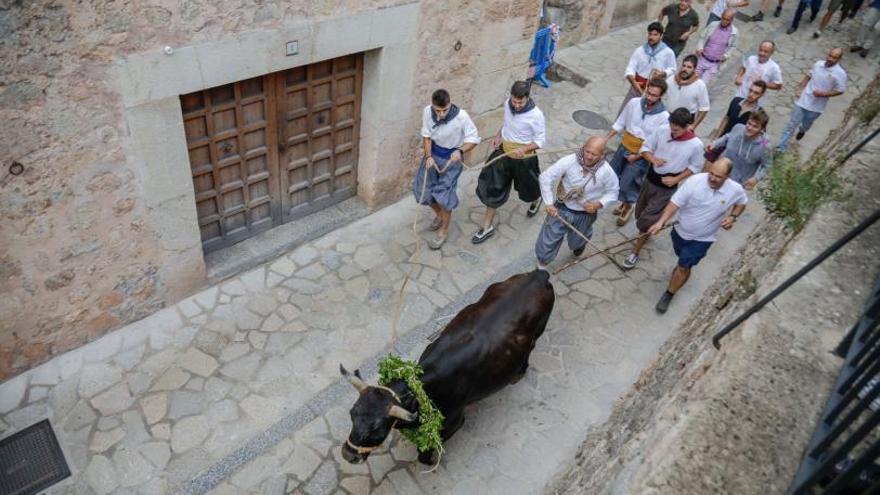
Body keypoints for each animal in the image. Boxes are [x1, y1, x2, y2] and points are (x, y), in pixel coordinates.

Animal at [340, 270, 552, 464]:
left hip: (539, 331)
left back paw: (518, 374)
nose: (348, 455)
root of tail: (539, 275)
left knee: (530, 349)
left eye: (377, 428)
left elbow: (424, 453)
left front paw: (430, 461)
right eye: (352, 414)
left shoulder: (453, 423)